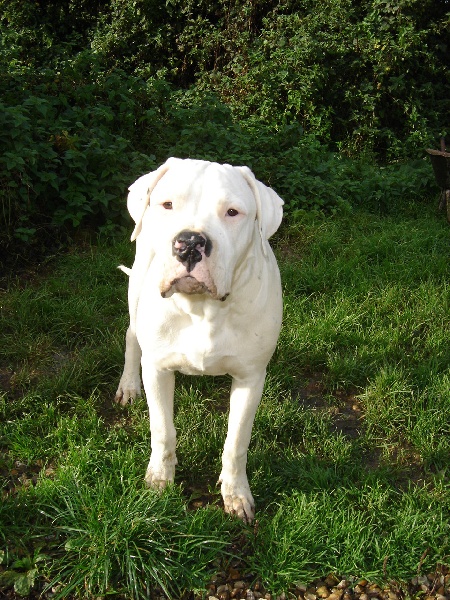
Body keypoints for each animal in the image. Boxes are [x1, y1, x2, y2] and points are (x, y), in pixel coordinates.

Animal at [114, 158, 284, 520]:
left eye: (232, 212)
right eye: (167, 204)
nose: (190, 243)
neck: (203, 309)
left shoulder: (250, 378)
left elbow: (236, 442)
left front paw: (236, 494)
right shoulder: (157, 369)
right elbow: (163, 431)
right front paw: (159, 480)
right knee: (131, 337)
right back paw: (128, 385)